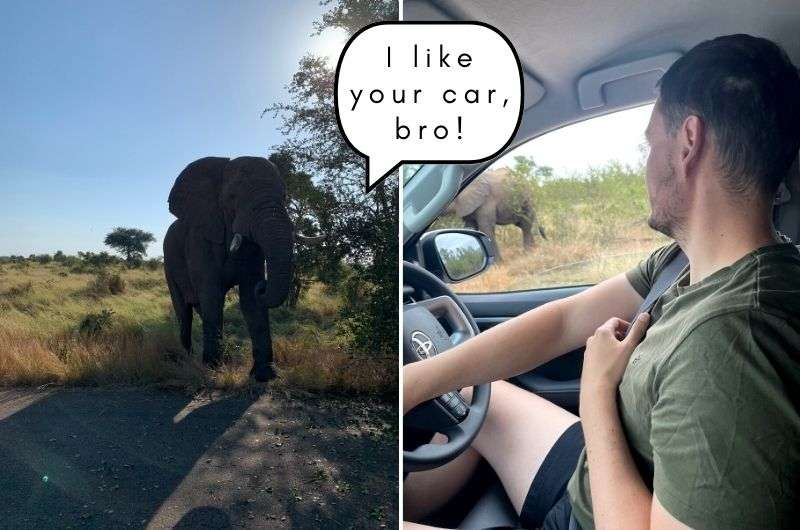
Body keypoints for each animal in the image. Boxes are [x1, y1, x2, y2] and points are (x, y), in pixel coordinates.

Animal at [162, 155, 316, 382]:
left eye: (285, 196)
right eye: (232, 197)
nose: (263, 285)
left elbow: (250, 301)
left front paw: (265, 375)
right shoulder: (201, 241)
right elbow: (212, 296)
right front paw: (212, 368)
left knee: (199, 309)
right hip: (169, 264)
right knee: (184, 311)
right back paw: (186, 360)